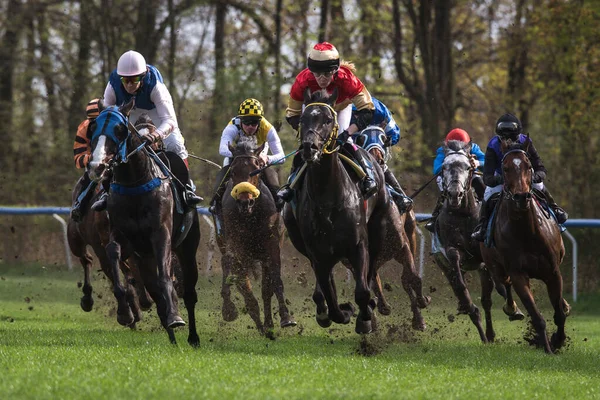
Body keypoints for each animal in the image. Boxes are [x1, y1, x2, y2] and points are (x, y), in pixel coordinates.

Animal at [88, 102, 202, 346]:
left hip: (187, 248)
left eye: (120, 129)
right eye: (93, 128)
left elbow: (165, 277)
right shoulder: (123, 237)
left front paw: (175, 316)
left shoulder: (161, 234)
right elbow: (113, 253)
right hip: (144, 258)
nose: (97, 166)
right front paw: (124, 313)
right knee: (156, 296)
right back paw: (172, 338)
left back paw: (192, 337)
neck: (134, 184)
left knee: (189, 293)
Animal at [218, 139, 298, 336]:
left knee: (265, 288)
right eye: (233, 171)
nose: (245, 201)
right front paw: (234, 310)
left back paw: (268, 323)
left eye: (256, 169)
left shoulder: (271, 245)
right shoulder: (236, 246)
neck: (251, 216)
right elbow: (242, 283)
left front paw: (286, 317)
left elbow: (274, 281)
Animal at [354, 126, 428, 330]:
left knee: (405, 279)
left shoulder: (403, 247)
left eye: (383, 137)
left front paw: (422, 303)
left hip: (410, 235)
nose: (376, 157)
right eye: (362, 138)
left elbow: (412, 278)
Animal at [434, 139, 524, 342]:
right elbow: (458, 273)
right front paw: (467, 303)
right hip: (444, 264)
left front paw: (514, 309)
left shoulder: (484, 259)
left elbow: (497, 289)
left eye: (468, 166)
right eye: (444, 167)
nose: (455, 194)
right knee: (470, 299)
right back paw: (483, 331)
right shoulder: (451, 251)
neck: (463, 213)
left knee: (489, 298)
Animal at [480, 143, 568, 354]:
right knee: (503, 283)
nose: (521, 197)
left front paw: (558, 340)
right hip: (495, 266)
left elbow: (559, 314)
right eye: (505, 168)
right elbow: (536, 317)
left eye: (528, 166)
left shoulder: (553, 272)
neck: (527, 233)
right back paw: (512, 308)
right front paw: (548, 347)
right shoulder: (518, 274)